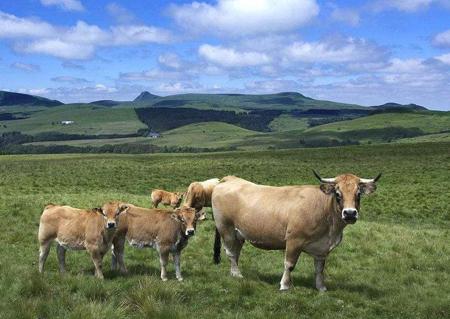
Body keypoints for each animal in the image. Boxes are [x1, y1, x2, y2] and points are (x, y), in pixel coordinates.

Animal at [211, 172, 380, 292]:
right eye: (338, 194)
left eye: (358, 194)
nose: (350, 213)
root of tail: (229, 179)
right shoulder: (294, 240)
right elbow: (289, 264)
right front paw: (285, 285)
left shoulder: (322, 248)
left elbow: (319, 269)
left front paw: (321, 287)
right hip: (226, 229)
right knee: (231, 253)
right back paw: (237, 274)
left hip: (239, 234)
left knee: (236, 253)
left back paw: (234, 272)